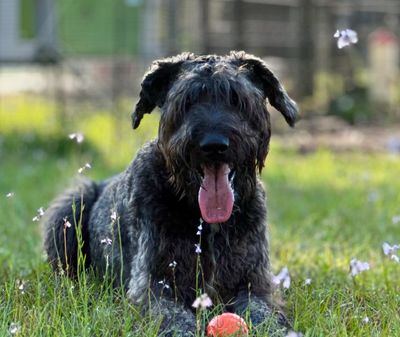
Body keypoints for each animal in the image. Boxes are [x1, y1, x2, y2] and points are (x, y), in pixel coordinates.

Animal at [43, 51, 296, 334]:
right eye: (186, 101)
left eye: (238, 99)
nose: (214, 145)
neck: (205, 222)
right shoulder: (153, 286)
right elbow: (173, 316)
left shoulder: (254, 283)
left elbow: (263, 312)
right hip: (70, 208)